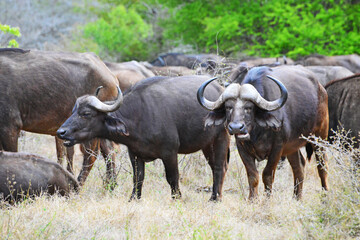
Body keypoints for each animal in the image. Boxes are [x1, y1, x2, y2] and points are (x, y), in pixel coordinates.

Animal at [57, 76, 231, 202]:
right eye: (73, 111)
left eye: (86, 113)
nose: (61, 132)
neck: (139, 116)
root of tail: (220, 91)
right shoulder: (134, 154)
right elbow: (138, 178)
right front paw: (134, 198)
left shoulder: (170, 153)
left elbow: (172, 177)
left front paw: (177, 198)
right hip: (207, 145)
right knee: (214, 166)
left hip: (221, 138)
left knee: (219, 167)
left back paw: (215, 198)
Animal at [198, 65, 330, 199]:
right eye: (228, 107)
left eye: (249, 108)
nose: (236, 127)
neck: (257, 133)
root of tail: (321, 88)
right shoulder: (242, 149)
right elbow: (252, 176)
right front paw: (252, 199)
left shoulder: (277, 148)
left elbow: (267, 175)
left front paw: (266, 200)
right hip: (292, 146)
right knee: (299, 166)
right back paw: (296, 198)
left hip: (320, 138)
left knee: (322, 166)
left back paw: (325, 196)